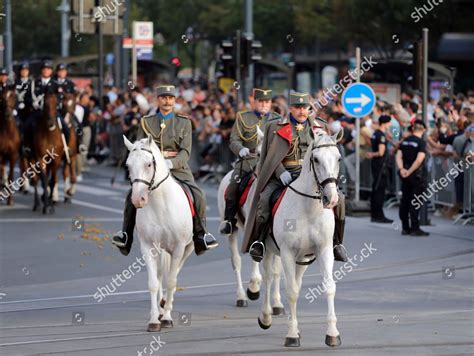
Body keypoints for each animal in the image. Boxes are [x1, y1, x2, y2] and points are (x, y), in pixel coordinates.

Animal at [124, 135, 196, 332]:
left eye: (149, 164)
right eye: (128, 166)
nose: (137, 200)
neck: (160, 204)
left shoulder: (179, 247)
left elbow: (171, 281)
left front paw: (167, 317)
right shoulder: (148, 247)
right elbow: (153, 283)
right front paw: (154, 320)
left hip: (187, 248)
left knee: (174, 273)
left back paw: (165, 307)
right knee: (160, 275)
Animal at [218, 127, 286, 314]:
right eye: (262, 153)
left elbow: (277, 270)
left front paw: (277, 303)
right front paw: (254, 288)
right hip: (233, 230)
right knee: (237, 261)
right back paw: (242, 296)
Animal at [258, 129, 342, 348]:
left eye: (338, 158)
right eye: (316, 159)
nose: (332, 198)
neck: (308, 208)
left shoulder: (324, 249)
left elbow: (329, 286)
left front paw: (332, 333)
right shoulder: (287, 252)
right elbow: (291, 291)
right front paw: (292, 335)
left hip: (303, 258)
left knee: (296, 280)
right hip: (269, 252)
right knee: (268, 278)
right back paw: (266, 316)